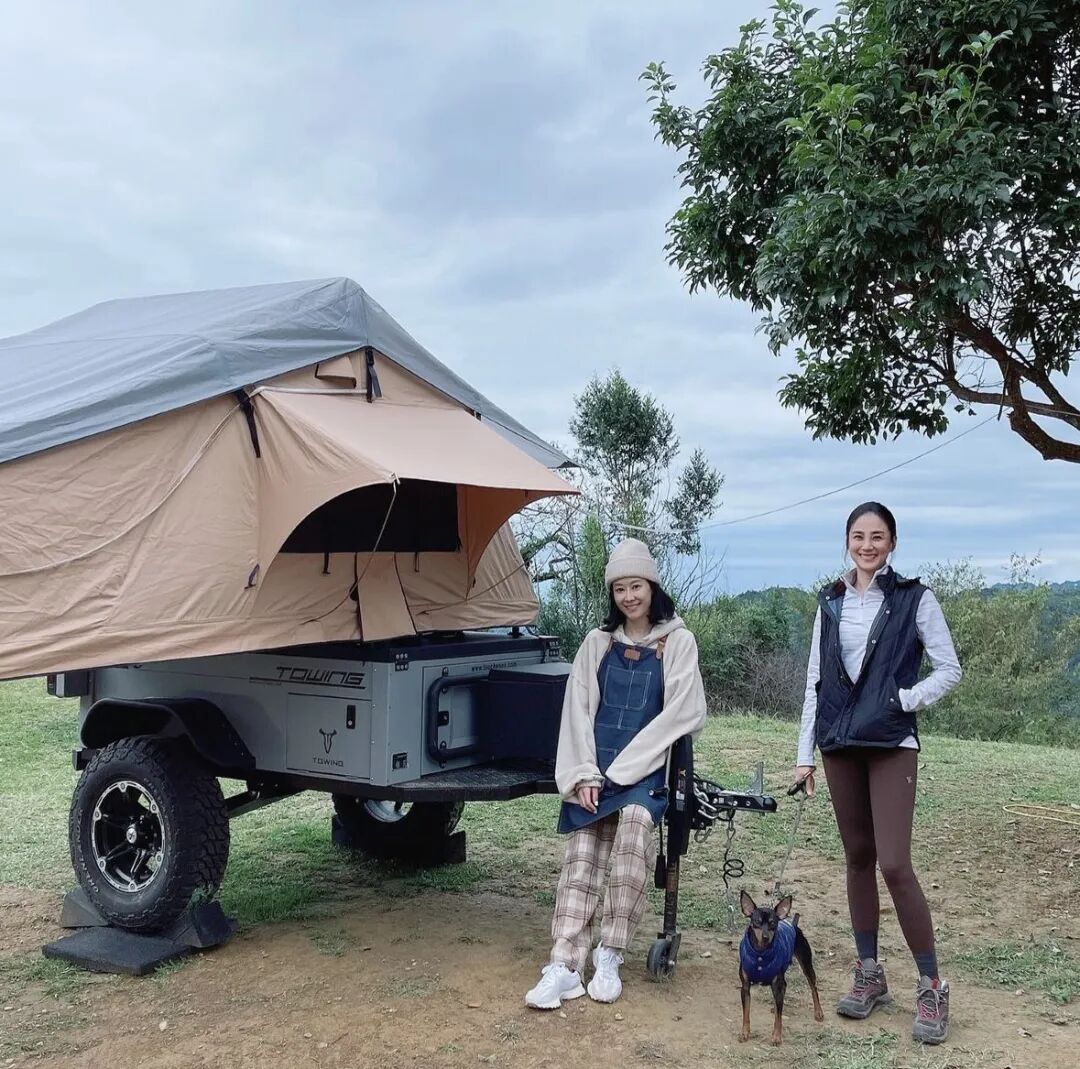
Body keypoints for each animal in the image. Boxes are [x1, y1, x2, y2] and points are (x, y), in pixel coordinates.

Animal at [738, 890, 824, 1046]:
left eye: (773, 923)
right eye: (757, 922)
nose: (765, 937)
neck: (760, 954)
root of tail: (793, 924)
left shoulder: (776, 985)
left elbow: (778, 1017)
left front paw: (777, 1036)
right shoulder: (745, 987)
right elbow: (746, 1012)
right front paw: (745, 1032)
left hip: (806, 964)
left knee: (813, 988)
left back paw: (818, 1012)